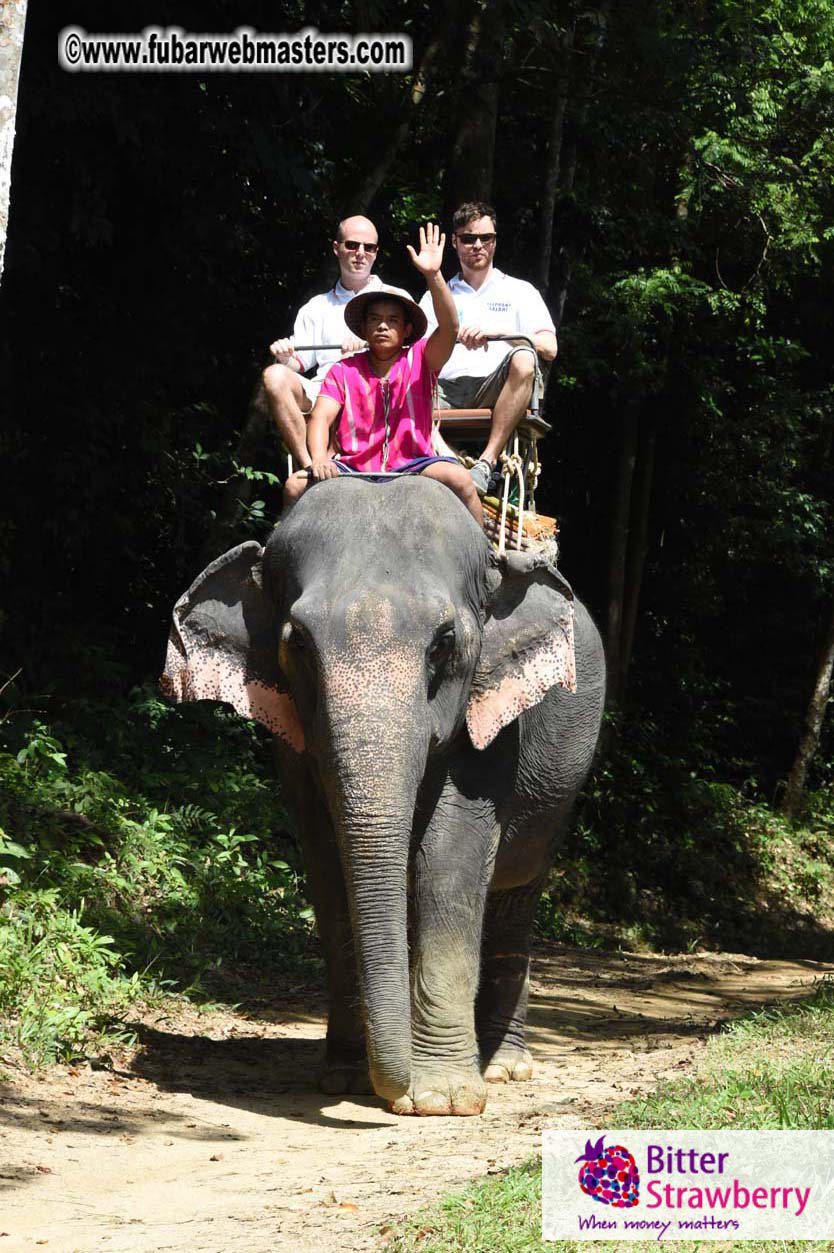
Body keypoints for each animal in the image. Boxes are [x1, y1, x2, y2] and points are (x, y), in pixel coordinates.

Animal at [161, 476, 605, 1116]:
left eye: (444, 643)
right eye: (298, 644)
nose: (393, 1091)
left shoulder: (491, 717)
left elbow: (450, 860)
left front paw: (442, 1100)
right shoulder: (293, 741)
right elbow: (329, 865)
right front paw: (344, 1080)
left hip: (561, 786)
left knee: (515, 897)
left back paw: (503, 1068)